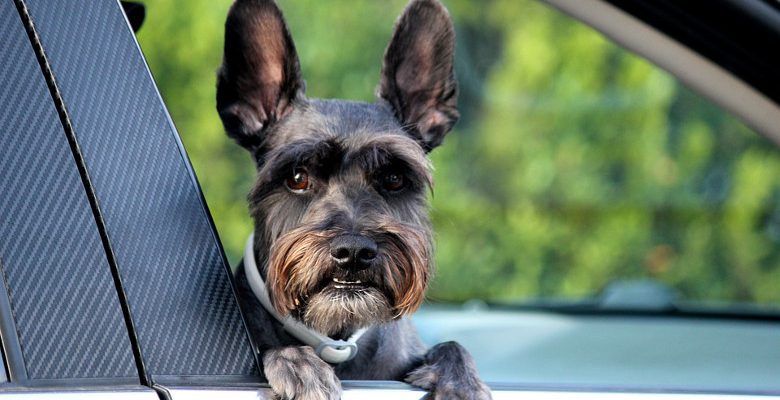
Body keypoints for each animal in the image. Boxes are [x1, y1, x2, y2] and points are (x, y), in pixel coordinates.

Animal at [216, 0, 490, 400]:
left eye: (394, 178)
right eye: (297, 177)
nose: (355, 252)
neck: (336, 339)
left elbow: (454, 346)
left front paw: (462, 382)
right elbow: (273, 348)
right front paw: (298, 363)